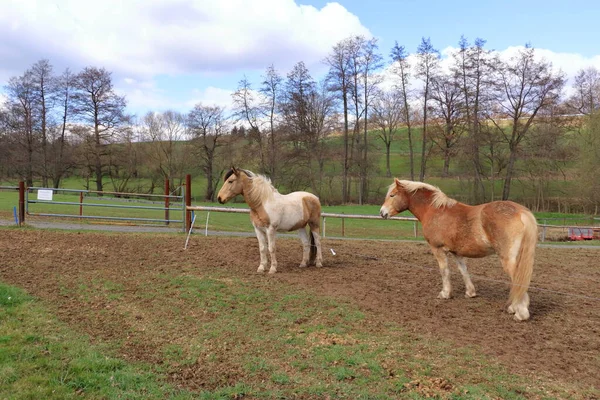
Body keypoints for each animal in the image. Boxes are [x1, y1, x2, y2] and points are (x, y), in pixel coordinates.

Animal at [382, 180, 536, 320]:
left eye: (392, 195)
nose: (382, 213)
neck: (435, 210)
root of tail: (521, 212)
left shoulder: (438, 249)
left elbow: (444, 271)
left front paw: (445, 293)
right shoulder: (457, 253)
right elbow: (463, 271)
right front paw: (470, 293)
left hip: (508, 260)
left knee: (518, 281)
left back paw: (520, 313)